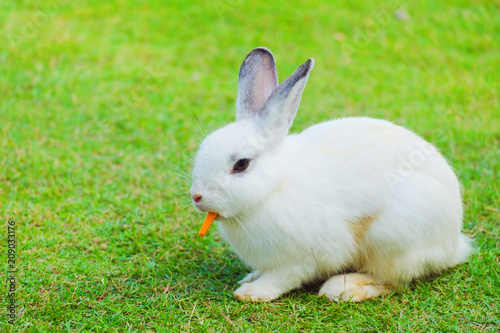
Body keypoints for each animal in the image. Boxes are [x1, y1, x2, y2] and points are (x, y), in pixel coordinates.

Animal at [189, 48, 470, 302]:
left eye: (241, 164)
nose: (196, 196)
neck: (274, 188)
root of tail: (453, 245)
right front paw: (249, 278)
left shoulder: (303, 258)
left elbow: (284, 277)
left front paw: (252, 292)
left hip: (391, 240)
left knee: (393, 280)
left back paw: (344, 288)